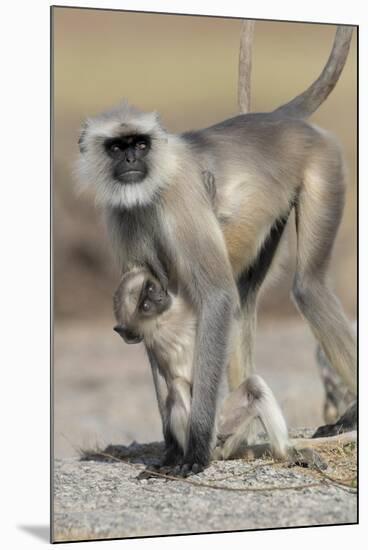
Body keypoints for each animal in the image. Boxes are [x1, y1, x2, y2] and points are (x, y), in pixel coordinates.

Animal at [77, 24, 356, 474]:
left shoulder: (180, 197)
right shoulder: (121, 216)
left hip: (323, 164)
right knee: (253, 296)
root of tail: (276, 119)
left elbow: (216, 295)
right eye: (117, 147)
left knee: (303, 287)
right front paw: (173, 448)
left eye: (140, 143)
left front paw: (193, 451)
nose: (132, 160)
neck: (149, 190)